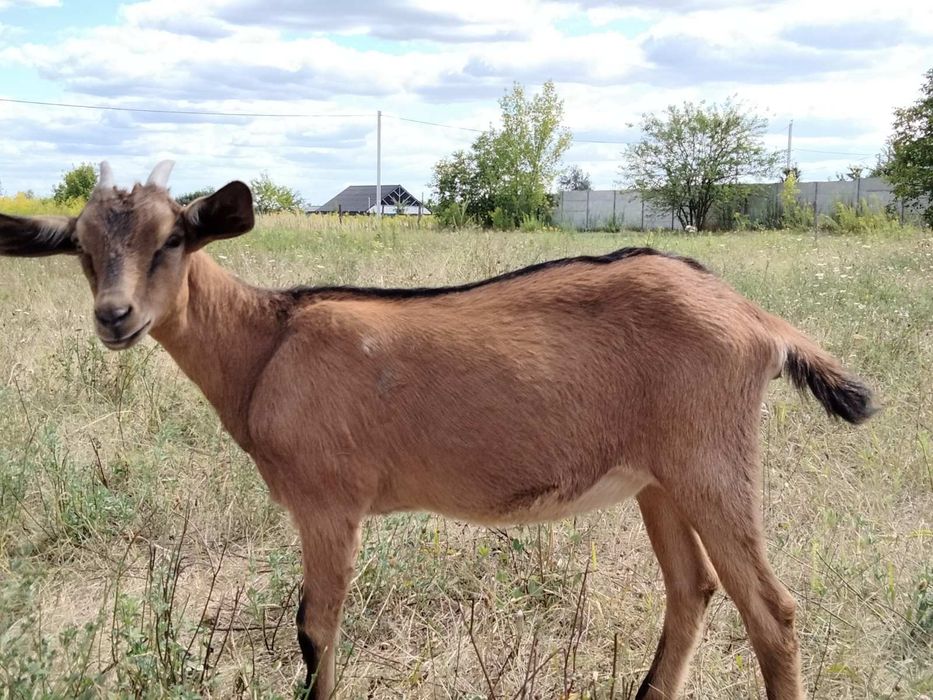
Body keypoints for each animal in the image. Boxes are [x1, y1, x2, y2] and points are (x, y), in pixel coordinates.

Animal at [0, 162, 875, 699]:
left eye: (174, 239)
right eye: (81, 248)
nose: (115, 317)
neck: (265, 343)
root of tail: (755, 319)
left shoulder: (327, 503)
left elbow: (314, 629)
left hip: (711, 460)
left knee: (771, 611)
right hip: (659, 477)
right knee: (691, 589)